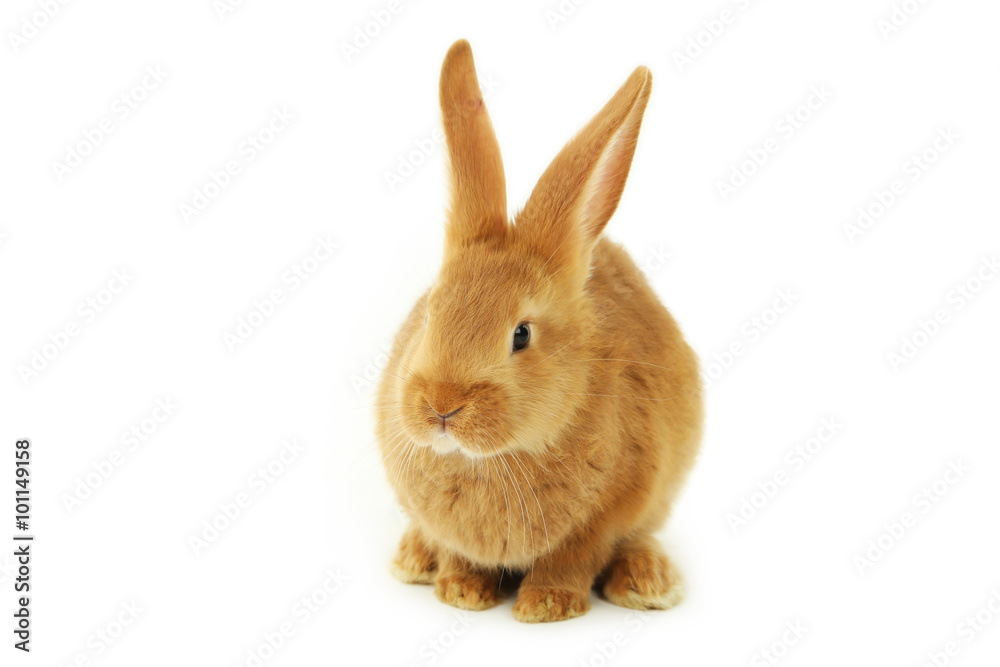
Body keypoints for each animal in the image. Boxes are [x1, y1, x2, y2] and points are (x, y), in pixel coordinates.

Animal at [376, 39, 702, 623]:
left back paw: (648, 583)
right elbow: (457, 553)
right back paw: (413, 560)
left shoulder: (605, 516)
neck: (491, 462)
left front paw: (546, 606)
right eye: (430, 312)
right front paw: (462, 593)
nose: (441, 406)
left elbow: (572, 558)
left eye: (521, 335)